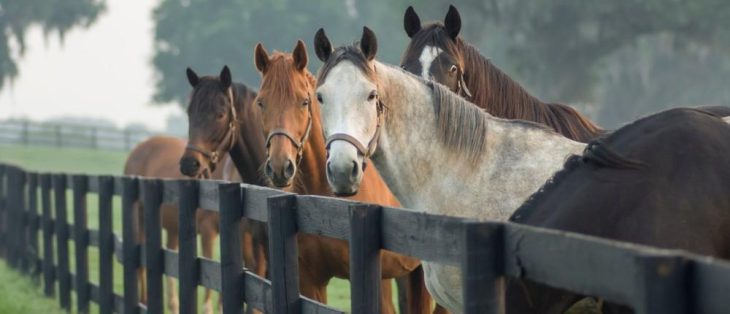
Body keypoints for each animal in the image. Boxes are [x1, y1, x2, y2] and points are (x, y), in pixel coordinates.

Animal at [123, 136, 239, 314]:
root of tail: (139, 147)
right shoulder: (207, 231)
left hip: (174, 229)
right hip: (140, 218)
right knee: (141, 265)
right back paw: (144, 302)